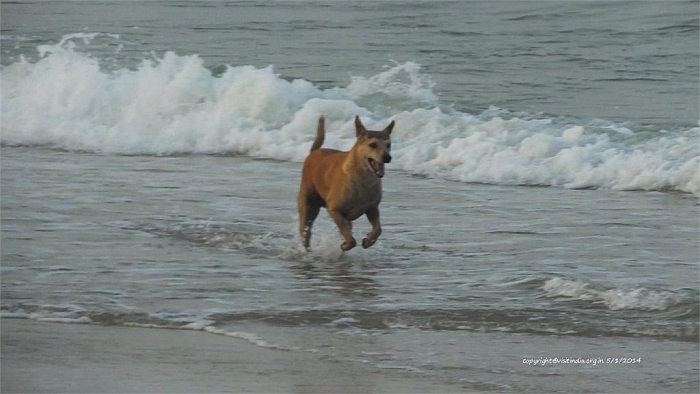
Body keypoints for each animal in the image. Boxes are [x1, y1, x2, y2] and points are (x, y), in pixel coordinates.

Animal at [296, 115, 394, 251]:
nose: (387, 157)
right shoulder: (335, 210)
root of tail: (313, 152)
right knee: (306, 232)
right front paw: (346, 245)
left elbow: (378, 229)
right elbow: (350, 238)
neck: (362, 178)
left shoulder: (372, 208)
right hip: (308, 207)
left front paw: (368, 241)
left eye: (388, 145)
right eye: (373, 144)